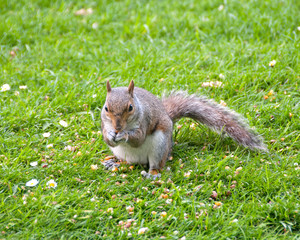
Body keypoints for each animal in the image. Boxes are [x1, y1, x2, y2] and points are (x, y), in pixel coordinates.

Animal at [101, 80, 268, 178]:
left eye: (130, 108)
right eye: (106, 108)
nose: (117, 127)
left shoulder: (145, 120)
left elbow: (138, 138)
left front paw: (124, 135)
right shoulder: (104, 123)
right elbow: (107, 139)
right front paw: (110, 135)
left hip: (160, 146)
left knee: (156, 164)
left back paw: (153, 173)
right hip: (122, 153)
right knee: (128, 161)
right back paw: (115, 163)